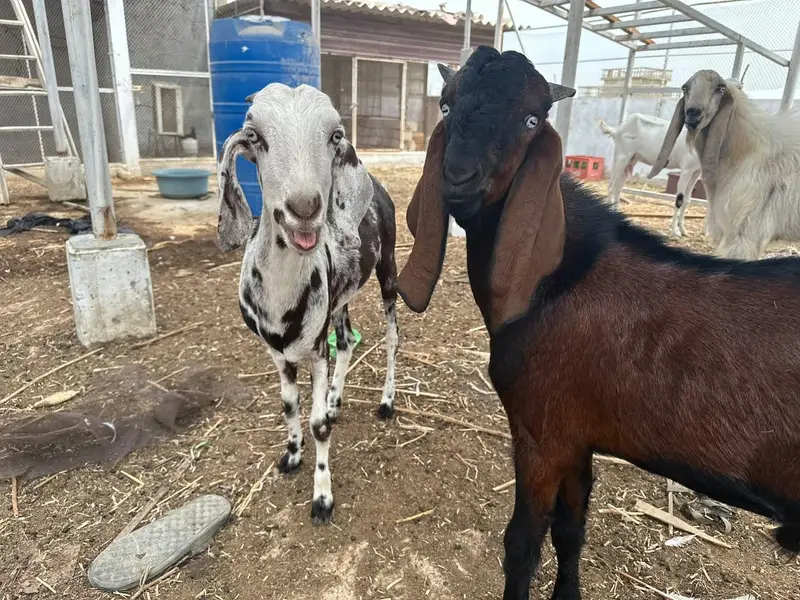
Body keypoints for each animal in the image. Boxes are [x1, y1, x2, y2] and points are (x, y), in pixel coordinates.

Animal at [216, 83, 399, 524]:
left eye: (335, 135)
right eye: (254, 136)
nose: (304, 208)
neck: (281, 299)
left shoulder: (315, 351)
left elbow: (318, 426)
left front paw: (322, 497)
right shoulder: (278, 354)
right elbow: (288, 405)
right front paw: (292, 455)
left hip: (388, 270)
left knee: (391, 337)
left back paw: (386, 401)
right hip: (339, 301)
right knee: (347, 340)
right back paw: (335, 399)